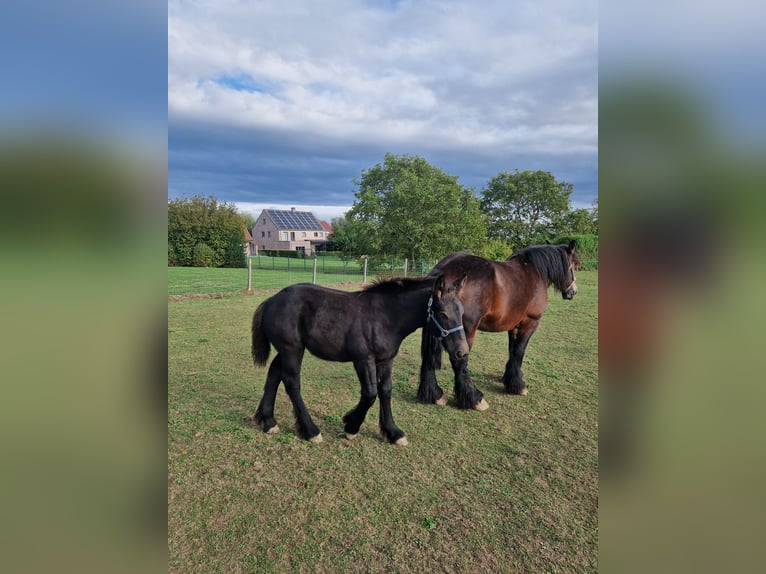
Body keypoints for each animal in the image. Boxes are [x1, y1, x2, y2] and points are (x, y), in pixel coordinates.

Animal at [249, 273, 469, 445]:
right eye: (443, 314)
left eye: (461, 312)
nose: (462, 352)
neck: (386, 316)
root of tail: (270, 301)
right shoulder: (363, 359)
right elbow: (370, 393)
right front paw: (351, 426)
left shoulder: (386, 360)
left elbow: (385, 391)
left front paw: (393, 432)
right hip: (292, 349)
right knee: (292, 383)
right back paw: (311, 431)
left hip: (287, 350)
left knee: (274, 374)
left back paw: (268, 422)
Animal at [418, 241, 579, 410]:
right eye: (574, 265)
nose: (572, 292)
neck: (534, 272)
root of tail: (444, 268)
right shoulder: (530, 322)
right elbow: (519, 351)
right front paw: (519, 386)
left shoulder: (513, 325)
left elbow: (512, 351)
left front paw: (510, 379)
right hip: (465, 331)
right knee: (459, 361)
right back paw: (474, 398)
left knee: (428, 357)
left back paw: (434, 394)